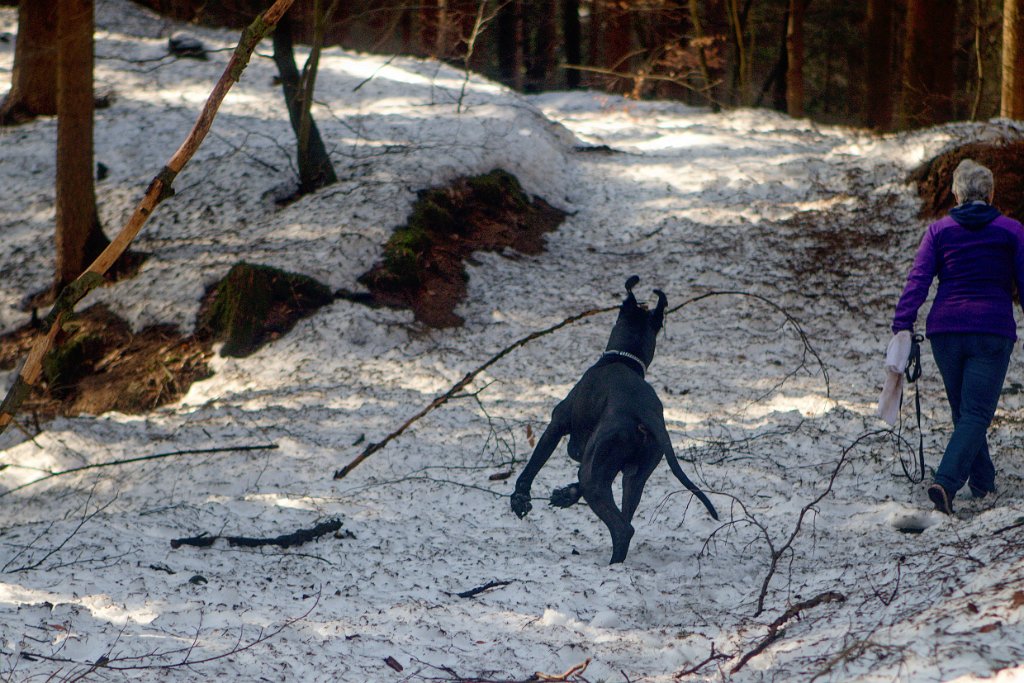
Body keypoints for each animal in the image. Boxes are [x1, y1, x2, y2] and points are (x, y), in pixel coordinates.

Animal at [512, 274, 720, 565]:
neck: (624, 358)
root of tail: (645, 414)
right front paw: (567, 494)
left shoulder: (558, 424)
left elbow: (533, 465)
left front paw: (520, 498)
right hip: (635, 476)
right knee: (626, 517)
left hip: (597, 472)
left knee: (623, 527)